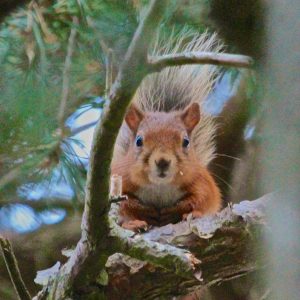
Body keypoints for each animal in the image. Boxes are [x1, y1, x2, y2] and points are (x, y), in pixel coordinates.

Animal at [111, 31, 221, 232]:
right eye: (139, 141)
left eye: (186, 142)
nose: (162, 161)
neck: (160, 187)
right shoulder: (121, 178)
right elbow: (125, 204)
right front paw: (144, 213)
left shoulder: (202, 182)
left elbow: (202, 198)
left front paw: (184, 212)